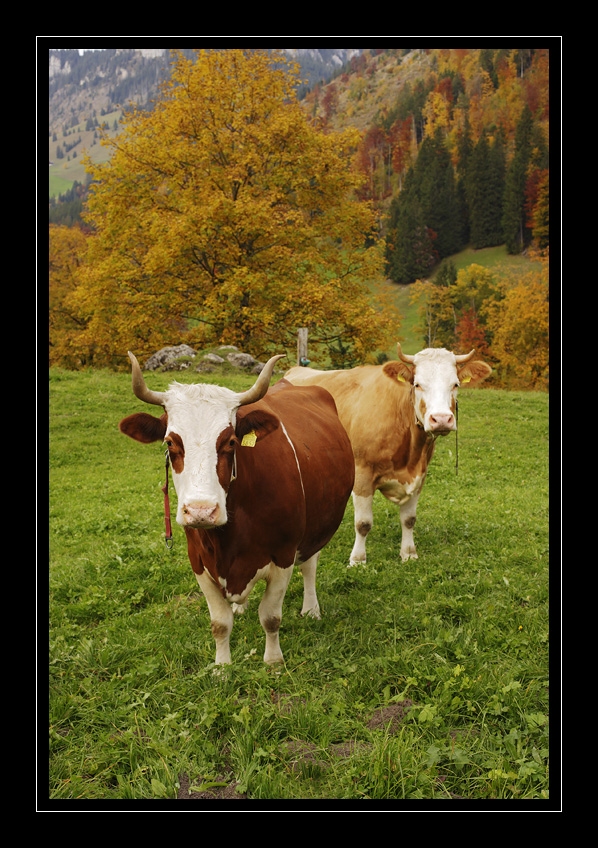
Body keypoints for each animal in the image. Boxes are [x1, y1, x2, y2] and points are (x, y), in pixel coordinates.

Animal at [119, 352, 354, 666]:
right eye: (169, 442)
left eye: (230, 441)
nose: (201, 511)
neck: (227, 538)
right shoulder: (198, 560)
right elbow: (219, 623)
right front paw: (221, 666)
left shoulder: (284, 555)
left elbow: (271, 617)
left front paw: (273, 661)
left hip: (316, 529)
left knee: (310, 565)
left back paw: (311, 609)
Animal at [286, 344, 492, 566]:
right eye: (417, 384)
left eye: (455, 384)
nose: (442, 419)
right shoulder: (362, 473)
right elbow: (363, 523)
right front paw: (358, 559)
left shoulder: (420, 475)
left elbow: (409, 520)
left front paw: (408, 553)